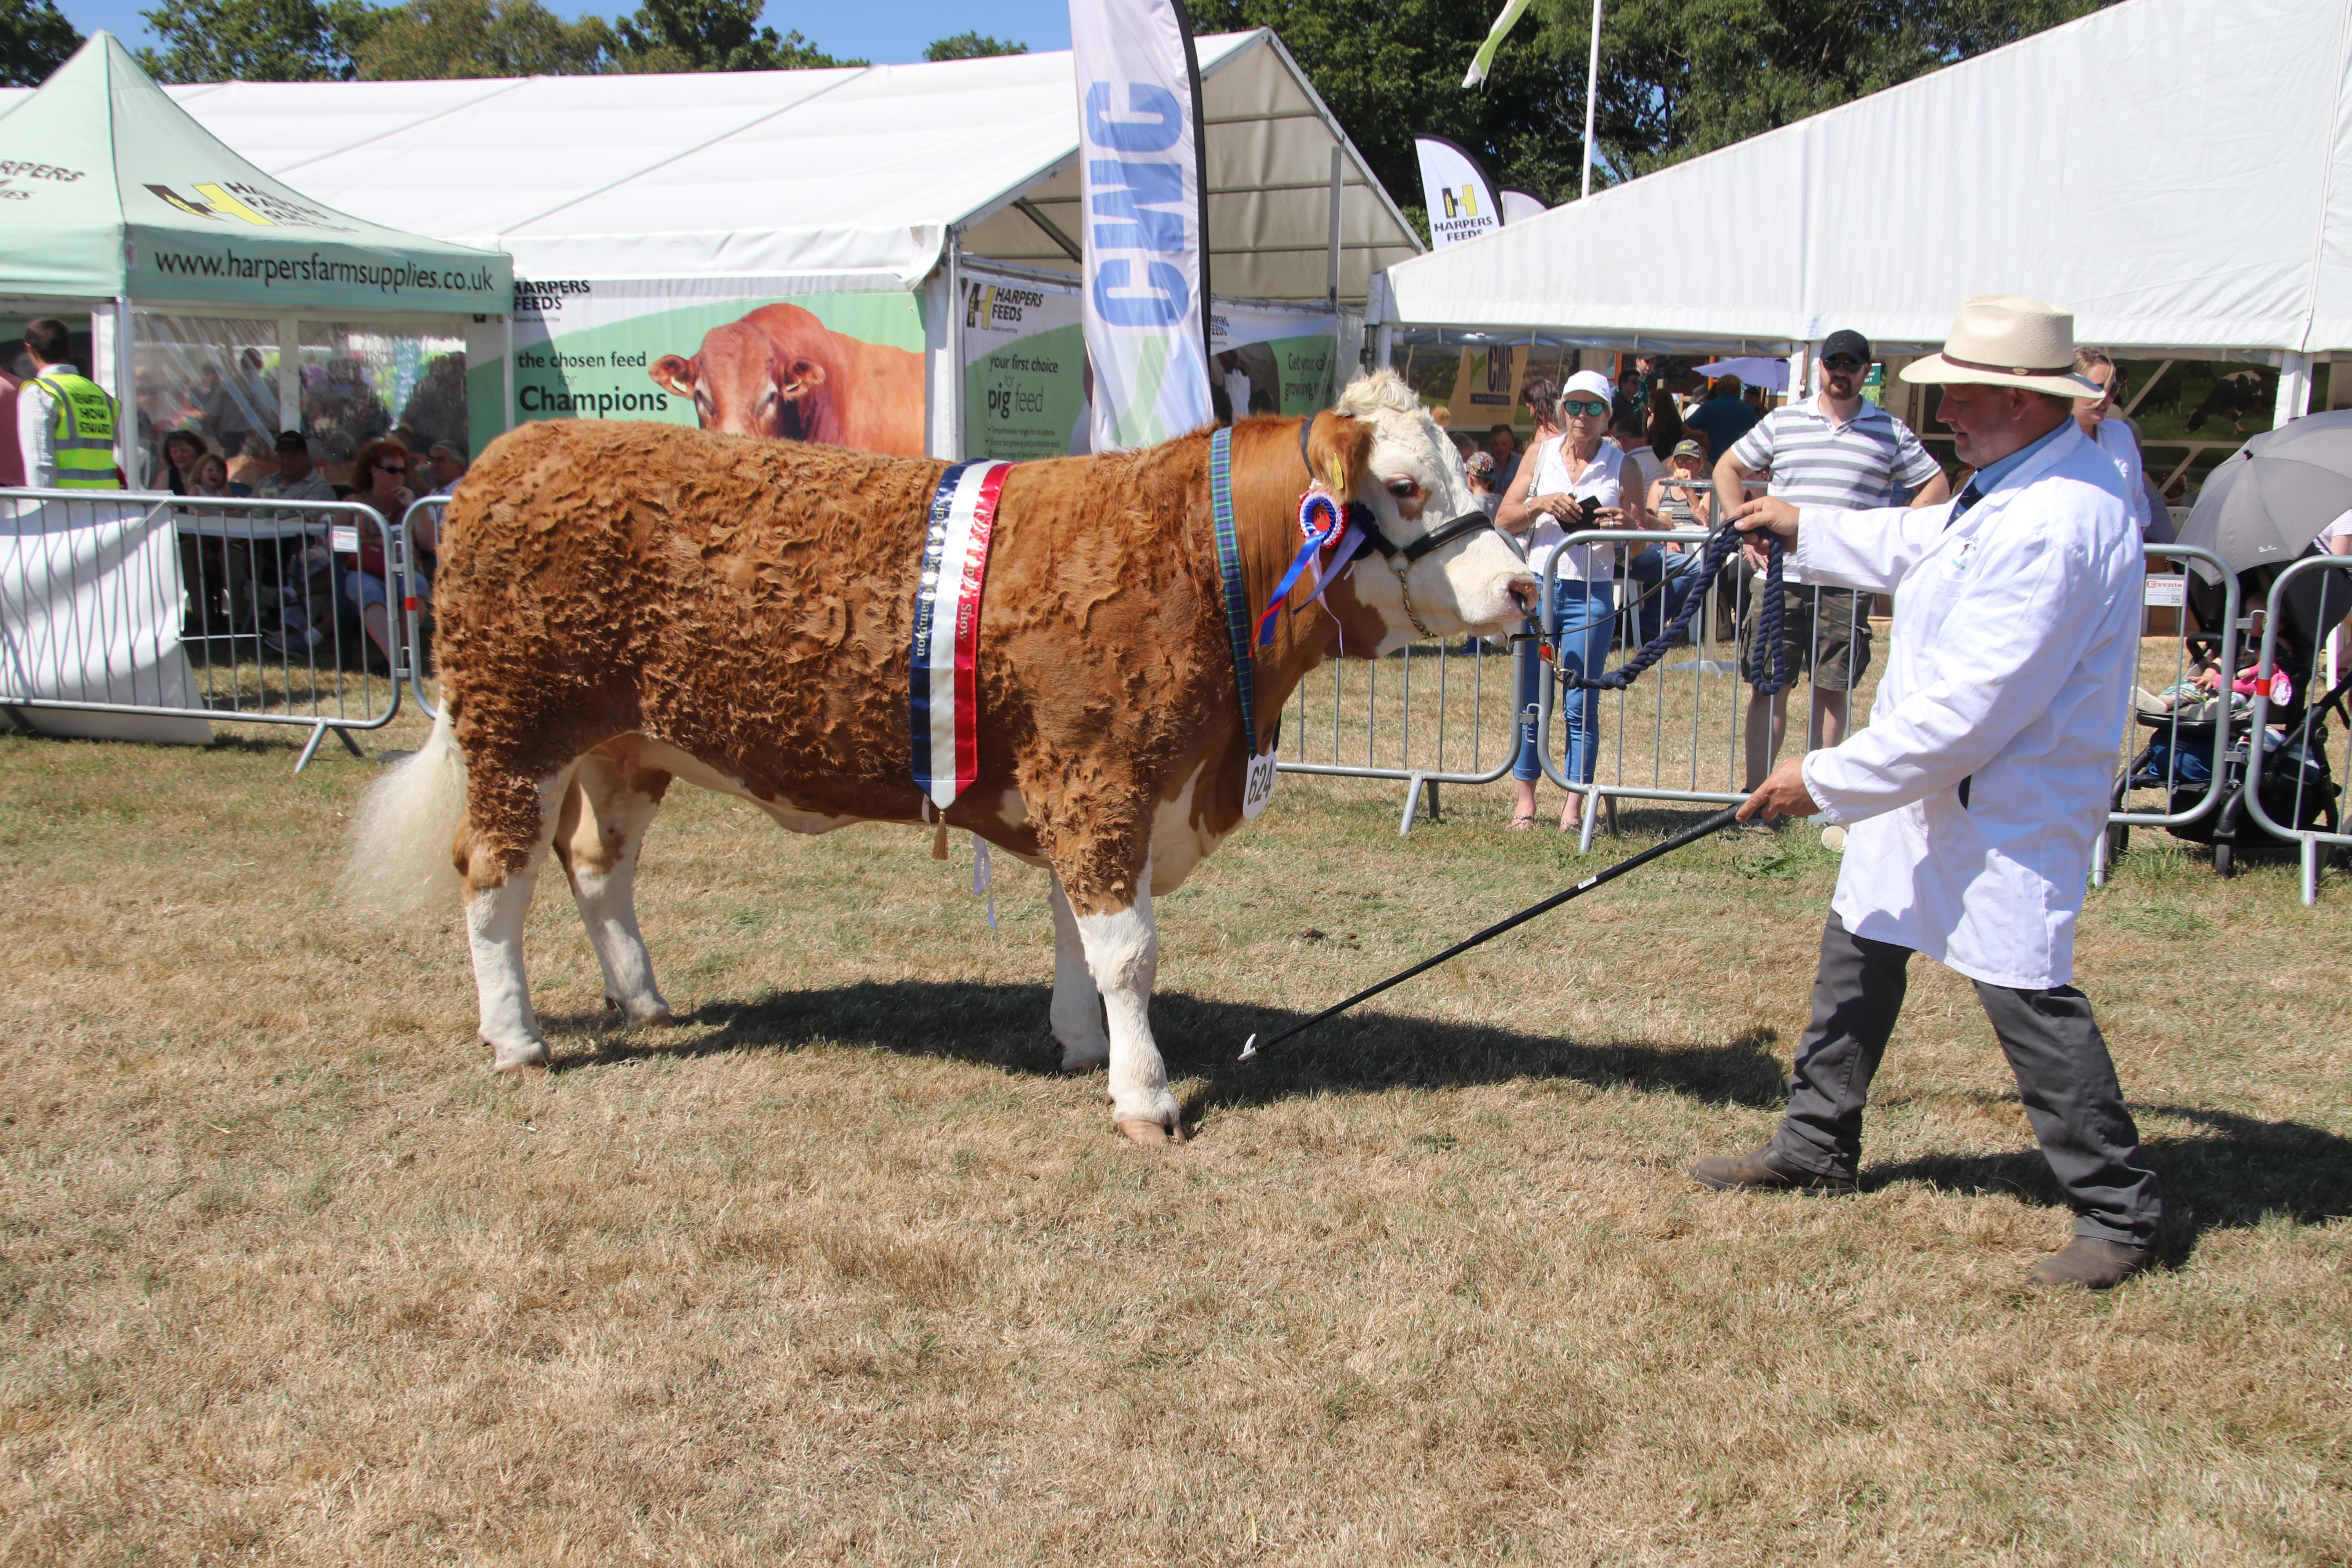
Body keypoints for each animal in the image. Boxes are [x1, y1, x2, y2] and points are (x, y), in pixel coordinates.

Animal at [348, 371, 1536, 1144]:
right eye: (1407, 486)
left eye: (1470, 471)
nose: (1524, 586)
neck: (1196, 564)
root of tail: (516, 452)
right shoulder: (1099, 775)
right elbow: (1129, 949)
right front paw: (1145, 1097)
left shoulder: (1088, 784)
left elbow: (1078, 934)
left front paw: (1080, 1043)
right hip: (519, 728)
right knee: (493, 875)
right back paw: (518, 1038)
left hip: (625, 744)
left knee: (599, 865)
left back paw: (643, 1000)